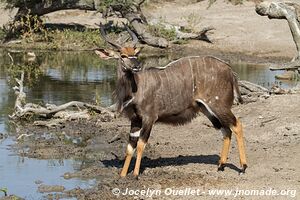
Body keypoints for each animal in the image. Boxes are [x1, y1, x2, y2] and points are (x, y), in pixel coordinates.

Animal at [96, 23, 248, 177]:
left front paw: (135, 174)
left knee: (237, 125)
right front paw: (122, 175)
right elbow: (129, 147)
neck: (134, 89)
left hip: (219, 105)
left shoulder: (149, 118)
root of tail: (230, 71)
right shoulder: (135, 119)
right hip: (207, 109)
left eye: (135, 53)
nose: (137, 66)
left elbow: (140, 145)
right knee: (226, 130)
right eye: (123, 55)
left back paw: (243, 167)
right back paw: (221, 165)